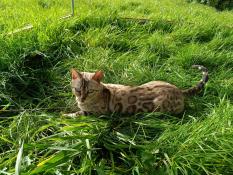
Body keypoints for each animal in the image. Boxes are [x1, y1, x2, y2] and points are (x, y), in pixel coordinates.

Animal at [66, 64, 208, 116]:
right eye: (77, 89)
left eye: (90, 91)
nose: (81, 98)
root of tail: (179, 90)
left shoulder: (99, 113)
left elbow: (78, 114)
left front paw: (65, 116)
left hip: (159, 108)